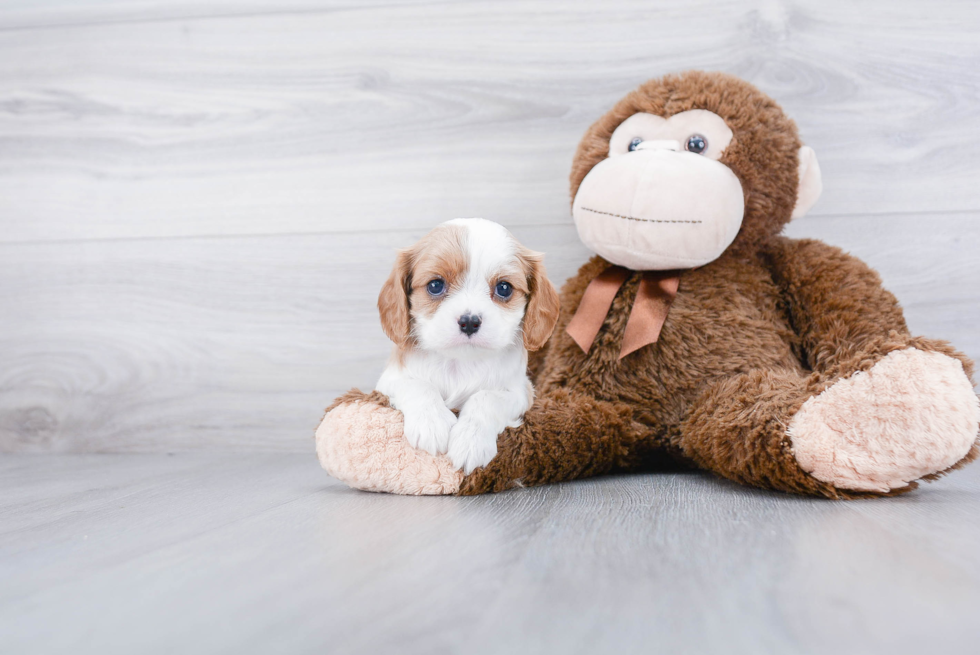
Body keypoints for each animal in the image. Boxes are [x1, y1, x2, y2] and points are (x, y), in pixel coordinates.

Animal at [376, 219, 560, 472]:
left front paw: (471, 442)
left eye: (504, 288)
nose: (470, 322)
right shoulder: (389, 381)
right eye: (435, 285)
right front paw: (431, 424)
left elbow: (486, 398)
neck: (460, 362)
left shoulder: (520, 392)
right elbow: (418, 386)